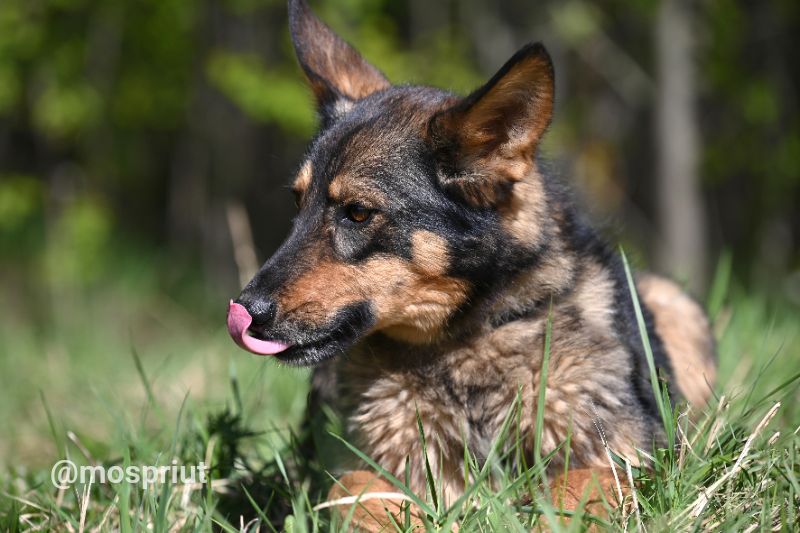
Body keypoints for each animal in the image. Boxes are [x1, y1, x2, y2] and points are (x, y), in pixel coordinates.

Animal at [227, 0, 720, 524]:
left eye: (357, 213)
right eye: (297, 204)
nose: (245, 311)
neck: (460, 346)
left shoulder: (632, 457)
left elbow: (579, 484)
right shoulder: (356, 466)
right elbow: (358, 491)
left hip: (676, 306)